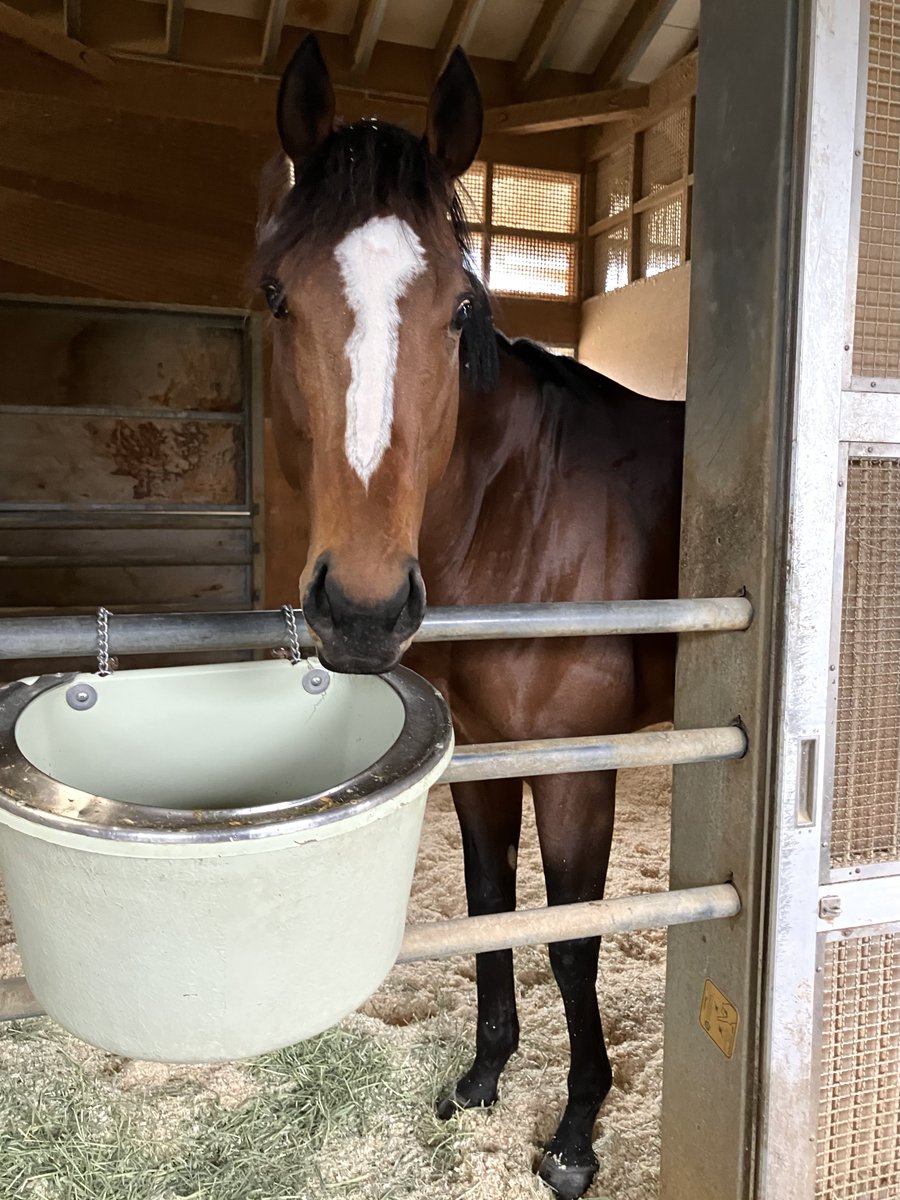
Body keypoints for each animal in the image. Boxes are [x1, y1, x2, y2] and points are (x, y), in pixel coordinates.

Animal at [256, 35, 684, 1200]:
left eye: (458, 307)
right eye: (277, 297)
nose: (361, 610)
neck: (524, 509)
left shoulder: (577, 763)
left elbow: (574, 937)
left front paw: (576, 1135)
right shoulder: (486, 755)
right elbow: (494, 904)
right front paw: (484, 1079)